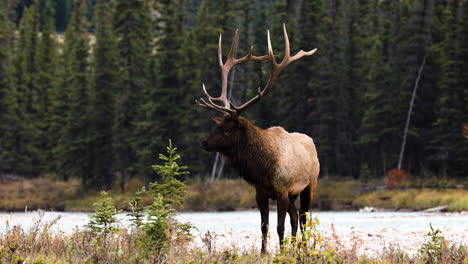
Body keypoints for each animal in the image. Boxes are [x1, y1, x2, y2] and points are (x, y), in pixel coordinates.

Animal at [196, 24, 320, 254]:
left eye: (228, 128)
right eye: (217, 125)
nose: (204, 142)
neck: (262, 168)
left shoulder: (282, 191)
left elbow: (279, 227)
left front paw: (281, 253)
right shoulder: (261, 193)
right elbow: (264, 226)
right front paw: (264, 253)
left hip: (310, 185)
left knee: (304, 218)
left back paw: (305, 250)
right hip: (293, 194)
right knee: (295, 218)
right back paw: (297, 250)